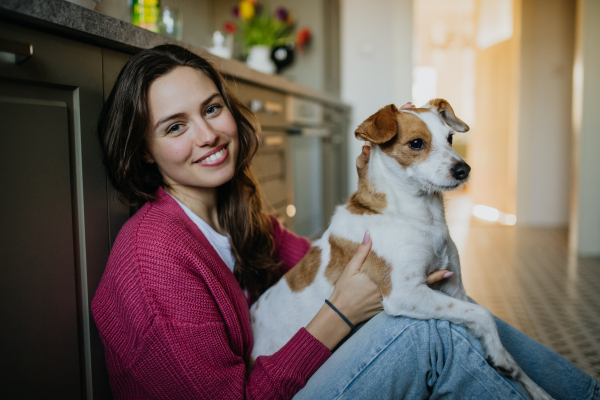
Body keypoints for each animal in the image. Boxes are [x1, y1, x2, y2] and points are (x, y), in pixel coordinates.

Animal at [250, 100, 552, 400]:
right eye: (416, 143)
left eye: (450, 138)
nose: (463, 169)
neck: (418, 218)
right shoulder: (406, 293)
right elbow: (484, 315)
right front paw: (500, 357)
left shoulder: (454, 289)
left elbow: (485, 324)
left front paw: (531, 385)